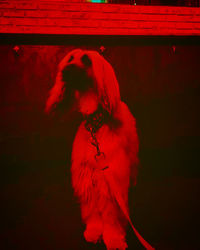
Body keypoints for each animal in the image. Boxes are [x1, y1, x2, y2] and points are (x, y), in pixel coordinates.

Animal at [45, 49, 154, 250]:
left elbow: (111, 216)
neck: (95, 125)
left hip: (132, 152)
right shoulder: (87, 176)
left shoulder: (110, 180)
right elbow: (92, 210)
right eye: (70, 58)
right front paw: (94, 231)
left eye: (87, 60)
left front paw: (113, 238)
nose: (64, 71)